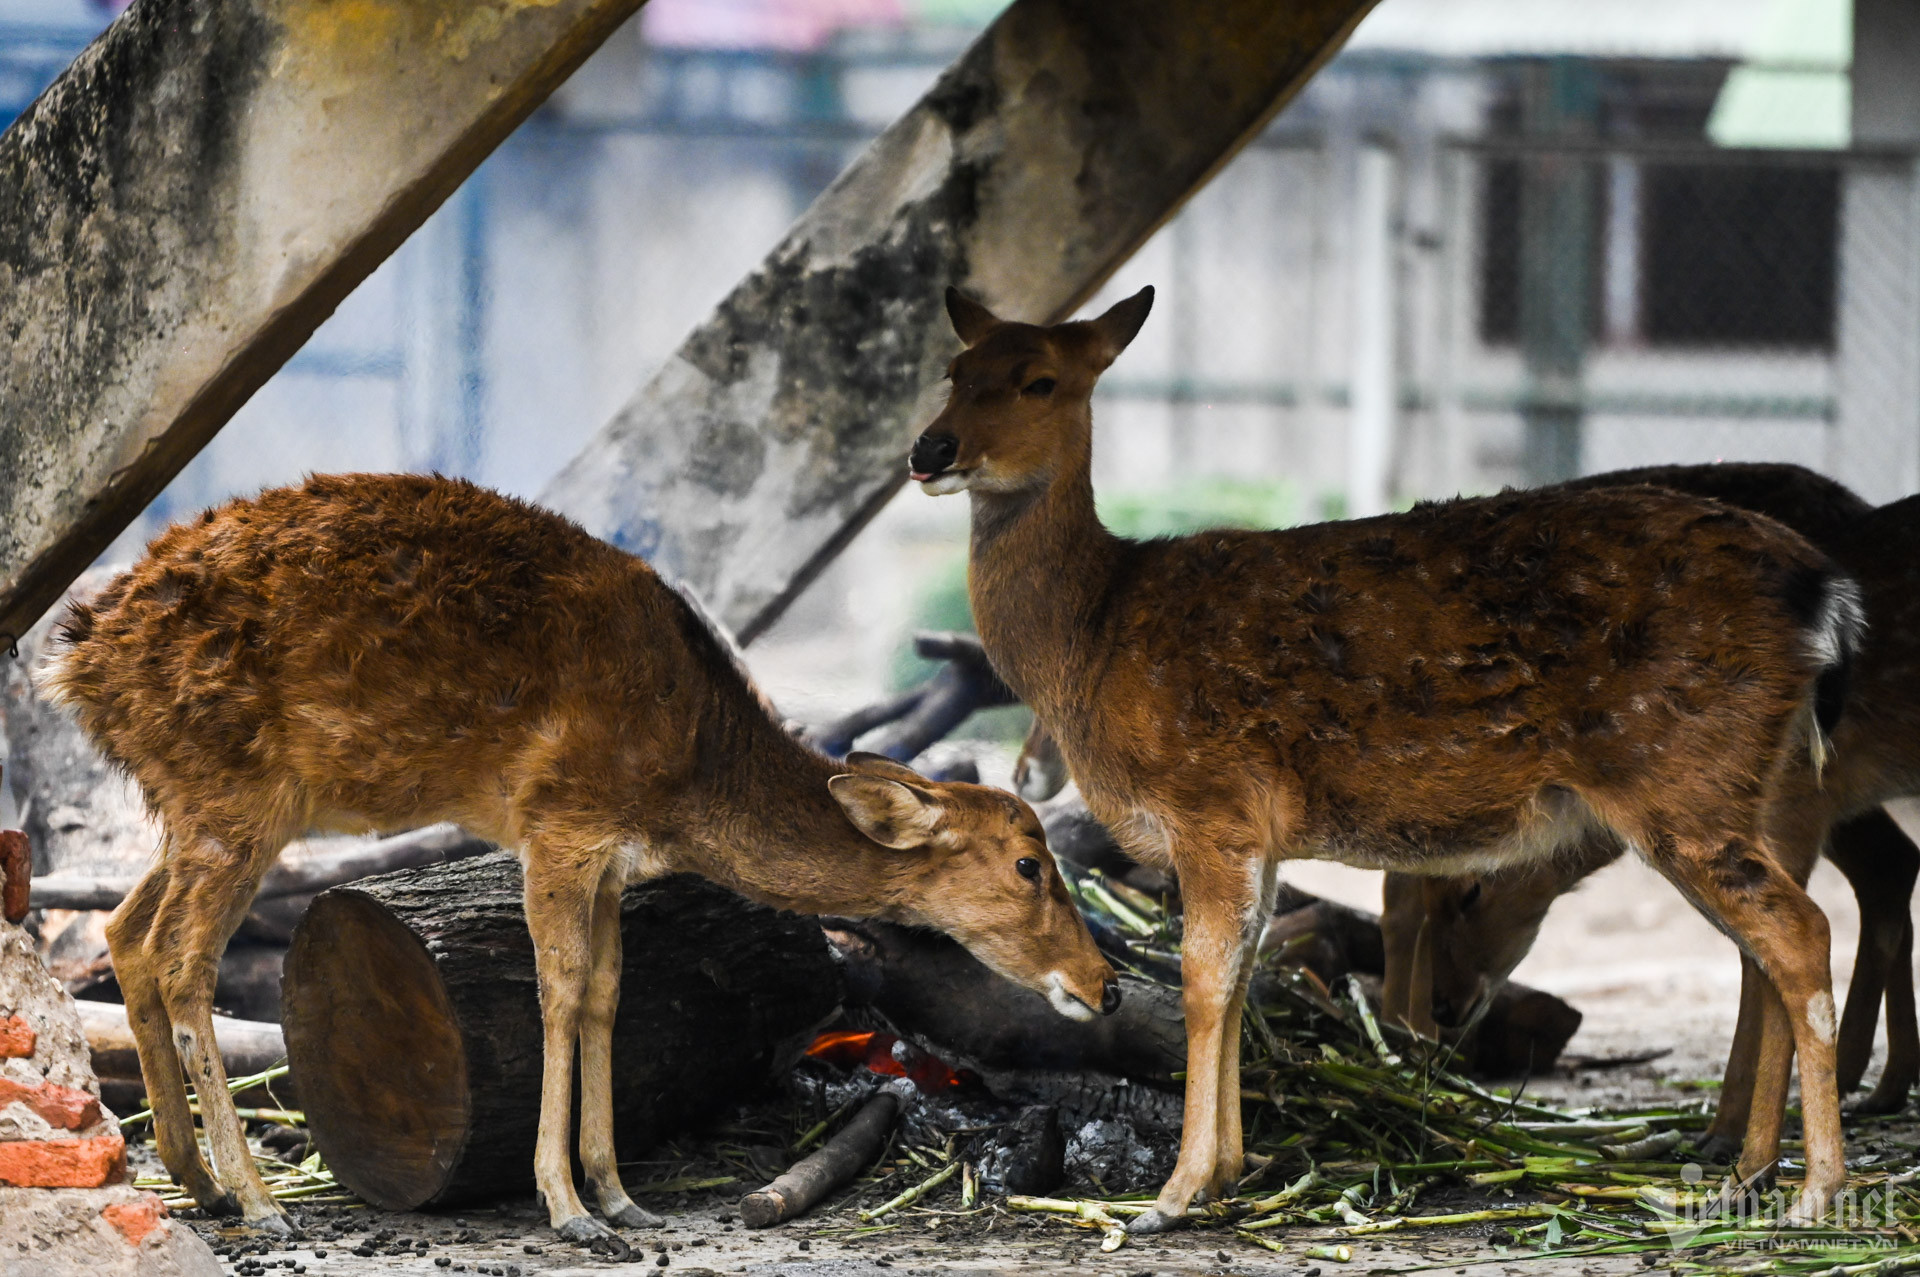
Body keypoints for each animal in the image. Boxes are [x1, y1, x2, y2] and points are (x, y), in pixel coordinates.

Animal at [37, 472, 1121, 1252]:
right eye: (1029, 864)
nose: (1105, 986)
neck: (686, 771)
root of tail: (74, 665)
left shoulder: (609, 862)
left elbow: (605, 992)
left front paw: (621, 1193)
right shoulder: (558, 820)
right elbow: (555, 991)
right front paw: (567, 1206)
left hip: (196, 801)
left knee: (124, 927)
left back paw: (196, 1177)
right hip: (234, 791)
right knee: (183, 957)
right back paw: (258, 1198)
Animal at [910, 286, 1858, 1228]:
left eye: (1039, 380)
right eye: (954, 371)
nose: (930, 449)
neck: (1093, 637)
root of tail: (1824, 592)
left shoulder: (1208, 799)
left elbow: (1202, 978)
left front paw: (1174, 1194)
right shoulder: (1253, 833)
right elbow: (1246, 971)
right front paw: (1227, 1173)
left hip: (1680, 774)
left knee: (1800, 930)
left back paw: (1815, 1190)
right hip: (1735, 782)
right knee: (1765, 947)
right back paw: (1749, 1173)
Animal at [1382, 460, 1920, 1129]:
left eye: (1472, 889)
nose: (1441, 1010)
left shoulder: (1795, 804)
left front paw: (1727, 1131)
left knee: (1882, 872)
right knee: (1893, 866)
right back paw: (1878, 1081)